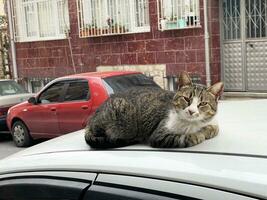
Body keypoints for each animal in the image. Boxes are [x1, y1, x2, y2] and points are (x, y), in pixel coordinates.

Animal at [85, 72, 224, 148]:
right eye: (186, 99)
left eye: (203, 103)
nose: (191, 111)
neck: (191, 124)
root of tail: (90, 121)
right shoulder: (159, 135)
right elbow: (184, 137)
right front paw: (198, 135)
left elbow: (214, 128)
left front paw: (207, 130)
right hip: (122, 114)